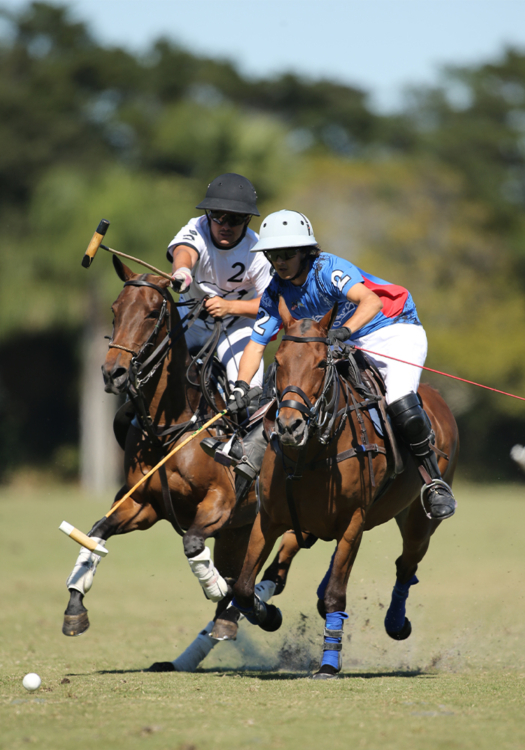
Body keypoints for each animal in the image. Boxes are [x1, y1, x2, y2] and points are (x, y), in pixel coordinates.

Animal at [60, 260, 298, 676]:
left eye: (152, 313)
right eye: (115, 310)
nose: (113, 373)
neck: (172, 426)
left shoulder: (221, 501)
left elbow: (193, 546)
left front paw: (216, 588)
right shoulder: (142, 505)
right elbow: (96, 532)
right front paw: (75, 607)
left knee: (273, 567)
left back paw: (250, 610)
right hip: (239, 531)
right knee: (242, 572)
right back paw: (228, 619)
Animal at [231, 300, 456, 680]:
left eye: (321, 363)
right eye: (279, 362)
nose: (289, 426)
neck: (310, 452)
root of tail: (436, 396)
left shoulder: (353, 520)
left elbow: (337, 593)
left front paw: (328, 664)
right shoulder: (269, 519)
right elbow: (245, 588)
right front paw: (269, 614)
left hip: (418, 520)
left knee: (406, 564)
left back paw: (397, 623)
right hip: (311, 525)